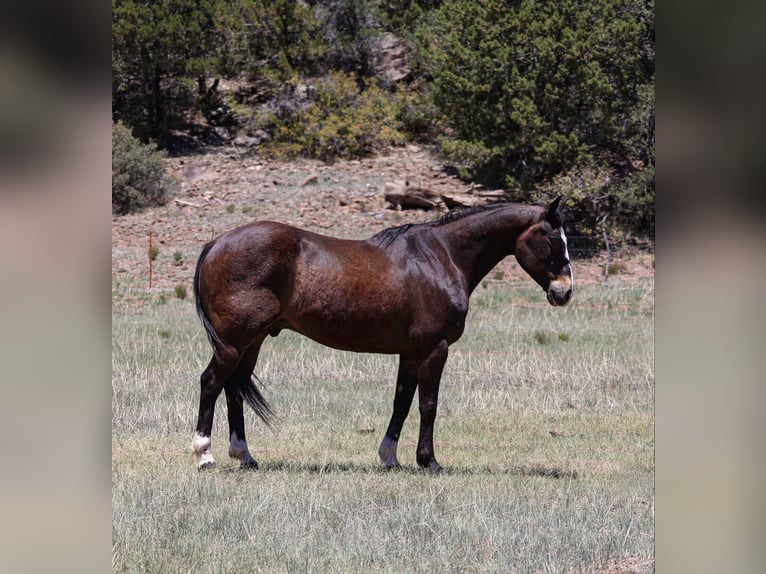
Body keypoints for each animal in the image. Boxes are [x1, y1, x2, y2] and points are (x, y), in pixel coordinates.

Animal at [191, 197, 573, 474]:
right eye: (554, 239)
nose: (565, 292)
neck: (440, 256)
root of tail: (215, 243)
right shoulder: (435, 349)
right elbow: (428, 405)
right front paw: (429, 462)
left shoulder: (411, 353)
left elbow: (401, 402)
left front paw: (390, 457)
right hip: (233, 343)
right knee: (211, 382)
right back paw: (204, 455)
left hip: (251, 342)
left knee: (235, 389)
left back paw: (245, 456)